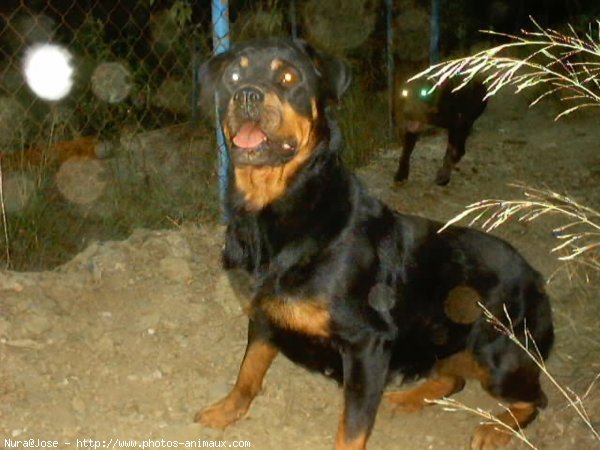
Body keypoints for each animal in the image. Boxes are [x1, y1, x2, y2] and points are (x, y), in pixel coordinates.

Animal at [196, 38, 552, 450]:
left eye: (288, 78)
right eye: (233, 76)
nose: (247, 95)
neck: (276, 209)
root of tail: (535, 277)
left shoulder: (367, 342)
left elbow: (352, 427)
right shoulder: (263, 314)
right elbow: (248, 370)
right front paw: (226, 409)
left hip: (496, 352)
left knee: (536, 398)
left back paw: (496, 427)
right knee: (454, 378)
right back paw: (407, 397)